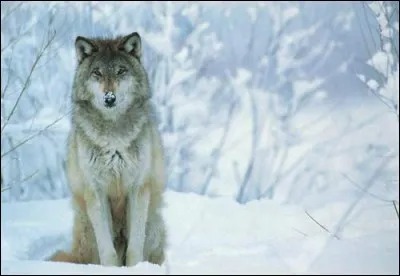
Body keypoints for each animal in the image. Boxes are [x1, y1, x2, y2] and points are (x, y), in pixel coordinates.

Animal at [48, 32, 167, 268]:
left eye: (121, 71)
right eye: (97, 73)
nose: (109, 98)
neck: (114, 138)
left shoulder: (138, 188)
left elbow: (134, 248)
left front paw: (135, 269)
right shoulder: (96, 190)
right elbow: (107, 251)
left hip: (153, 225)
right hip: (87, 230)